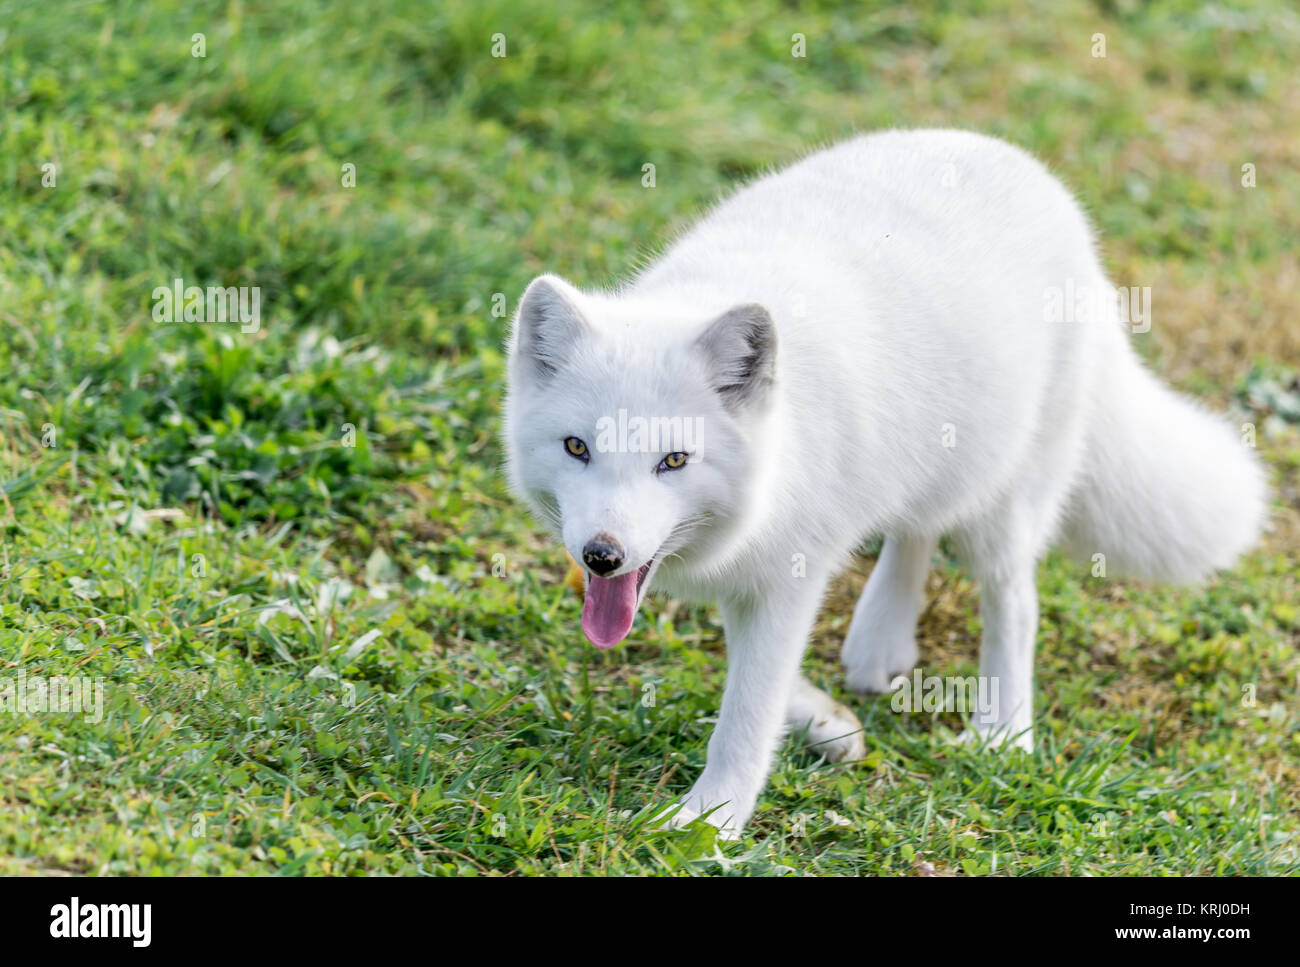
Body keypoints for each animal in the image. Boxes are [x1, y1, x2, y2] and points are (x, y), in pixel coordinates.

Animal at [502, 129, 1267, 837]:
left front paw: (709, 819)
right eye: (577, 448)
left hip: (1002, 502)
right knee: (915, 529)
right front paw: (818, 719)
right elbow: (758, 669)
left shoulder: (791, 571)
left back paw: (1004, 730)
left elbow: (747, 708)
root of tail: (1044, 181)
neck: (782, 444)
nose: (602, 555)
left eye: (674, 461)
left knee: (1015, 600)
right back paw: (880, 645)